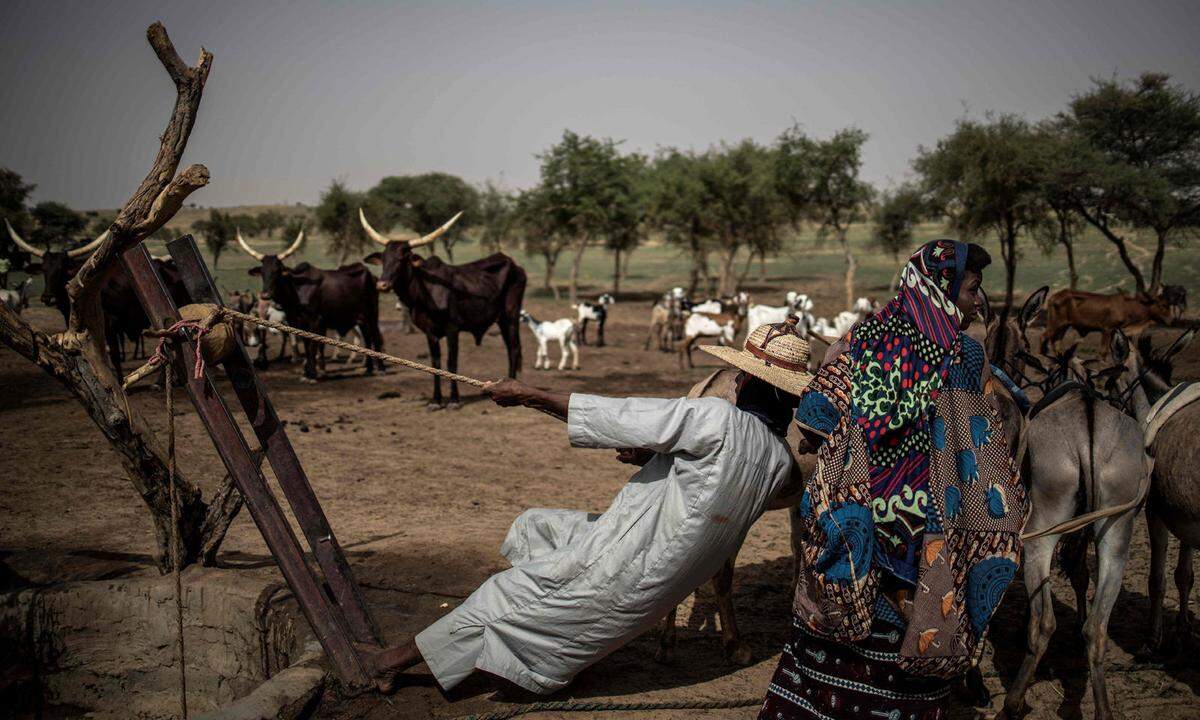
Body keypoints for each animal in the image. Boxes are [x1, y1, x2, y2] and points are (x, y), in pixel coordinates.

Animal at [236, 229, 381, 381]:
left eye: (278, 271)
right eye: (263, 272)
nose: (265, 295)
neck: (297, 289)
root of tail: (369, 273)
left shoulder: (315, 320)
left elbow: (312, 347)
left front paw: (311, 374)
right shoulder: (301, 323)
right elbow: (306, 345)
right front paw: (307, 372)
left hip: (372, 312)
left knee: (374, 335)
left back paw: (380, 368)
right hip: (360, 317)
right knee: (367, 337)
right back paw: (368, 368)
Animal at [357, 207, 523, 410]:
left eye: (402, 258)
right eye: (384, 258)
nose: (382, 284)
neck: (426, 292)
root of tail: (513, 263)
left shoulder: (453, 329)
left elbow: (452, 363)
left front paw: (453, 400)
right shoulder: (430, 332)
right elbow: (435, 364)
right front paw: (436, 400)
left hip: (511, 315)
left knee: (514, 348)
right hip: (501, 319)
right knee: (509, 347)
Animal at [1041, 288, 1171, 352]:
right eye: (1163, 305)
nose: (1171, 320)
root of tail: (1053, 297)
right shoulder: (1107, 329)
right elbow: (1103, 351)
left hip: (1064, 326)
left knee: (1057, 343)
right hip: (1055, 324)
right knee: (1044, 337)